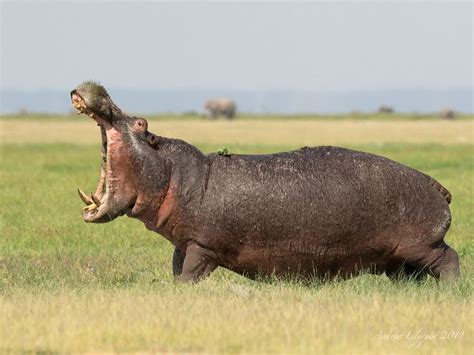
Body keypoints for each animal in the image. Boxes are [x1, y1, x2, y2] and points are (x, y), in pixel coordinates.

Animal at [70, 82, 460, 284]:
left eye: (141, 123)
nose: (96, 87)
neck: (173, 173)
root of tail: (436, 185)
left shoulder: (202, 246)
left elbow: (191, 273)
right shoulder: (184, 243)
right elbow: (178, 273)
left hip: (421, 245)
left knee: (449, 258)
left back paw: (451, 290)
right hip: (398, 258)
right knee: (411, 275)